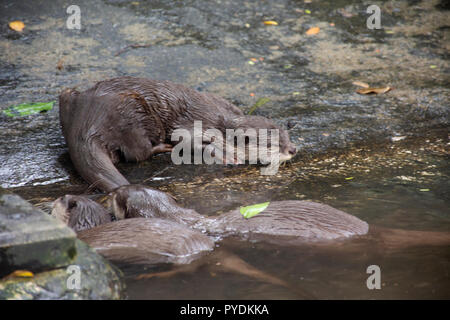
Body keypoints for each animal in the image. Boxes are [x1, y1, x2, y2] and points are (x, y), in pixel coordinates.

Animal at [59, 77, 298, 192]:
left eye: (287, 136)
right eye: (272, 144)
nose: (293, 150)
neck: (222, 122)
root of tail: (88, 122)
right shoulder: (195, 126)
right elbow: (188, 141)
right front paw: (225, 155)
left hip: (68, 96)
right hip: (133, 114)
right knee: (139, 152)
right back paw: (162, 148)